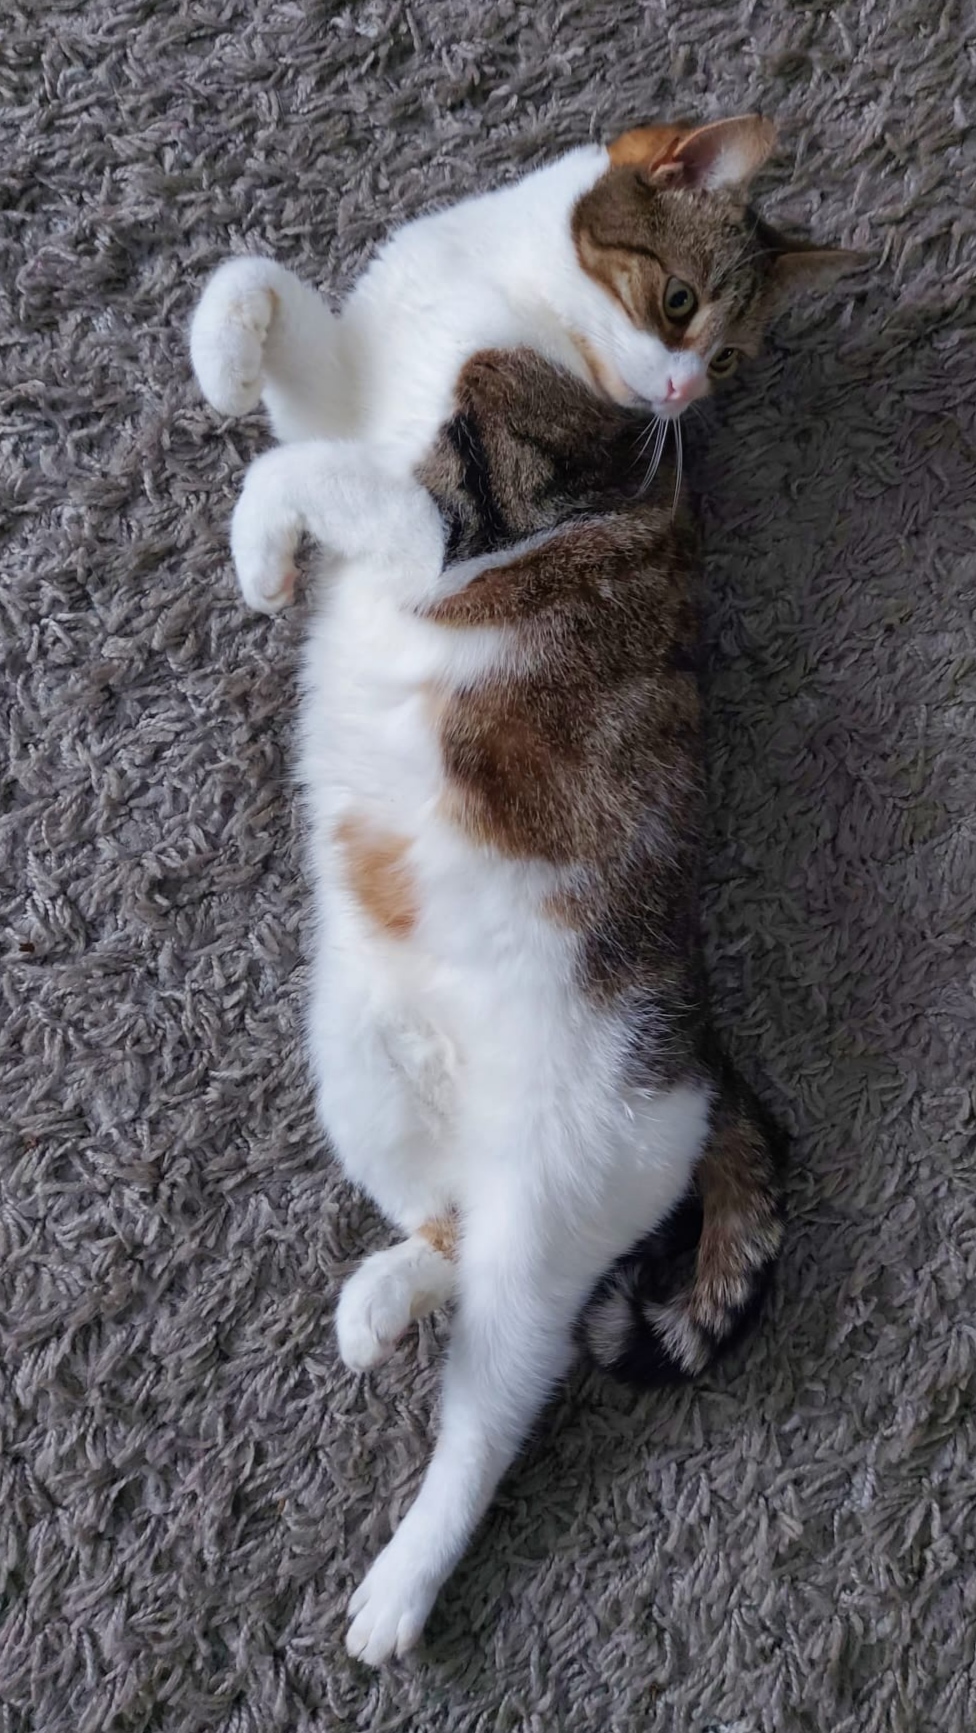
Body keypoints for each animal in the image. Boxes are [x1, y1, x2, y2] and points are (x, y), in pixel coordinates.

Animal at [190, 116, 862, 1662]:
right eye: (683, 308)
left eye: (732, 355)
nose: (680, 390)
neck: (505, 288)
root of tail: (707, 1056)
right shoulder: (351, 380)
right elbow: (258, 292)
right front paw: (221, 359)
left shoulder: (461, 510)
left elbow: (298, 479)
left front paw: (258, 557)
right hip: (360, 1071)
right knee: (443, 1225)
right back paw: (383, 1298)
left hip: (557, 1192)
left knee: (498, 1400)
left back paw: (397, 1590)